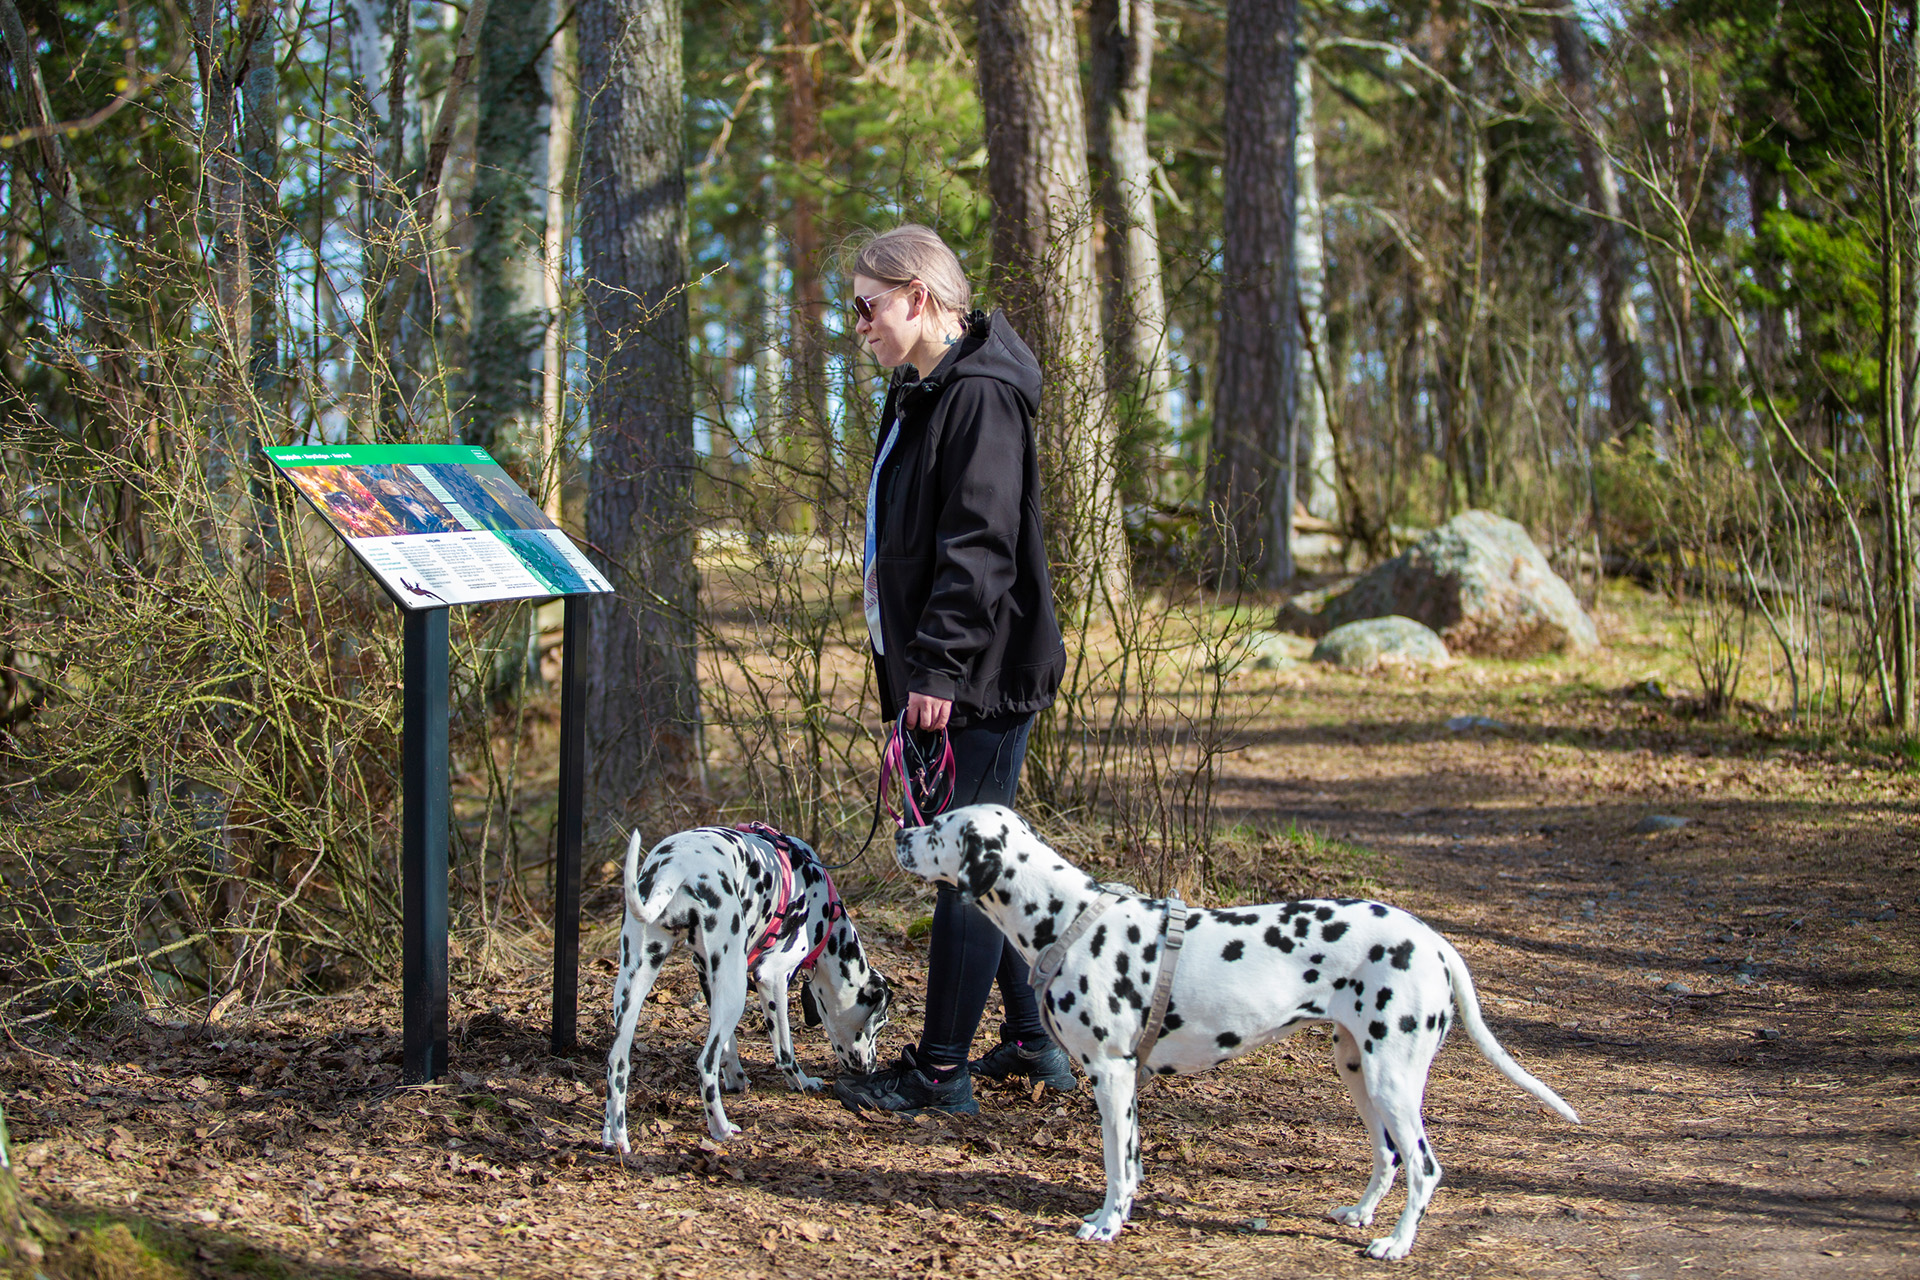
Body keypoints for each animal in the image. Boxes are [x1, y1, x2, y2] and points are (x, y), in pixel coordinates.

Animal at [599, 825, 890, 1143]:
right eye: (880, 1024)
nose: (871, 1068)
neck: (829, 923)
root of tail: (676, 865)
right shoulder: (772, 975)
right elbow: (784, 1052)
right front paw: (801, 1083)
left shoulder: (705, 972)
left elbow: (729, 1044)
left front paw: (736, 1078)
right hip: (734, 991)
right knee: (705, 1063)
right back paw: (722, 1129)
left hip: (636, 982)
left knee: (618, 1062)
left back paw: (615, 1136)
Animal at [890, 805, 1582, 1266]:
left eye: (939, 828)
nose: (899, 831)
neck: (1069, 920)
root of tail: (1434, 941)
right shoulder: (1124, 1084)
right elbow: (1131, 1164)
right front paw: (1114, 1215)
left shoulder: (1112, 1075)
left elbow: (1116, 1165)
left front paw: (1107, 1226)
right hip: (1359, 1074)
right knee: (1389, 1156)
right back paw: (1360, 1215)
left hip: (1394, 1080)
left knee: (1424, 1166)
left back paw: (1396, 1243)